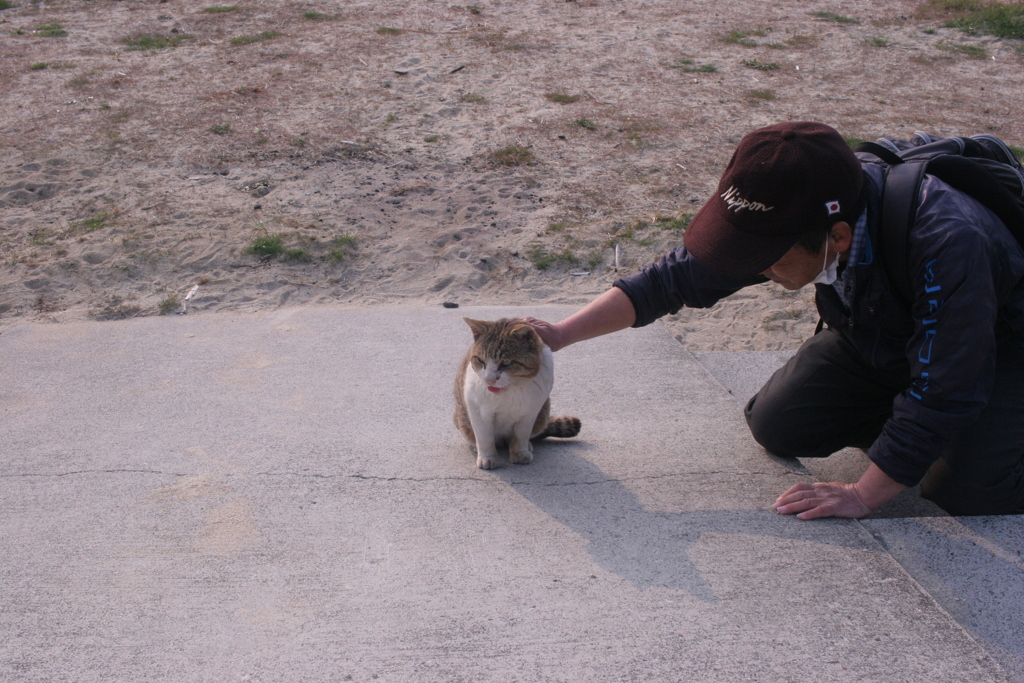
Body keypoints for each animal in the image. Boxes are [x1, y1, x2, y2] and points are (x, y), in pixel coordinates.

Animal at [452, 317, 581, 471]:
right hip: (462, 418)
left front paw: (520, 452)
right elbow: (484, 437)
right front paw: (488, 457)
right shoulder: (478, 410)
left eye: (506, 363)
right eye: (481, 360)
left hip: (543, 414)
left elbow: (521, 435)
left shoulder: (530, 412)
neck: (511, 389)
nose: (489, 379)